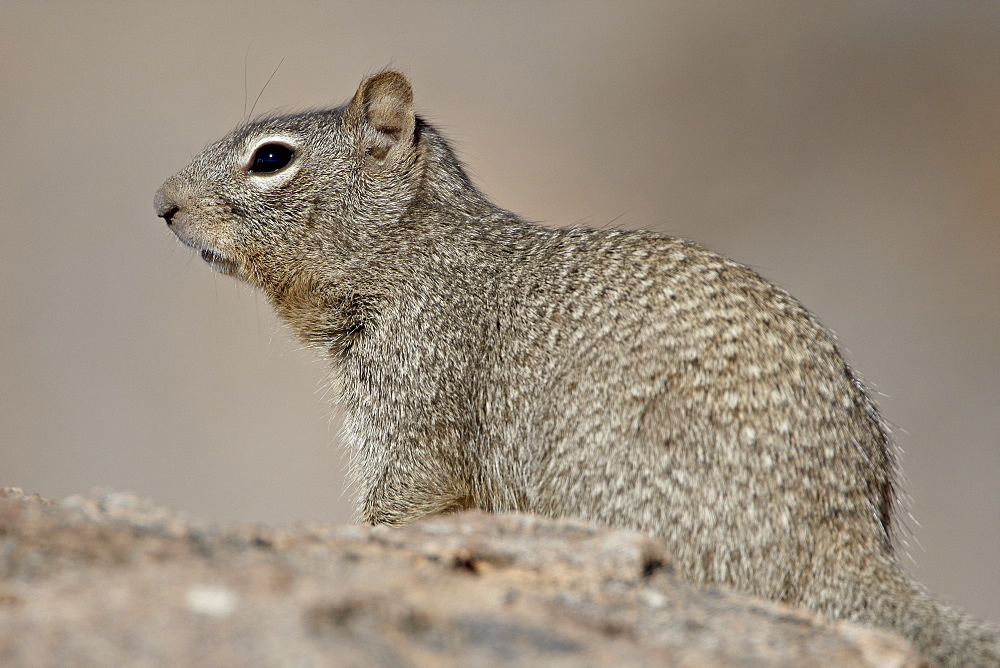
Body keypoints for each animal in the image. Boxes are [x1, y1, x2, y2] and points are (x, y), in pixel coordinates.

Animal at [152, 68, 996, 664]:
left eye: (270, 159)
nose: (162, 202)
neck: (413, 254)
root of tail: (844, 538)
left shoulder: (419, 394)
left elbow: (404, 494)